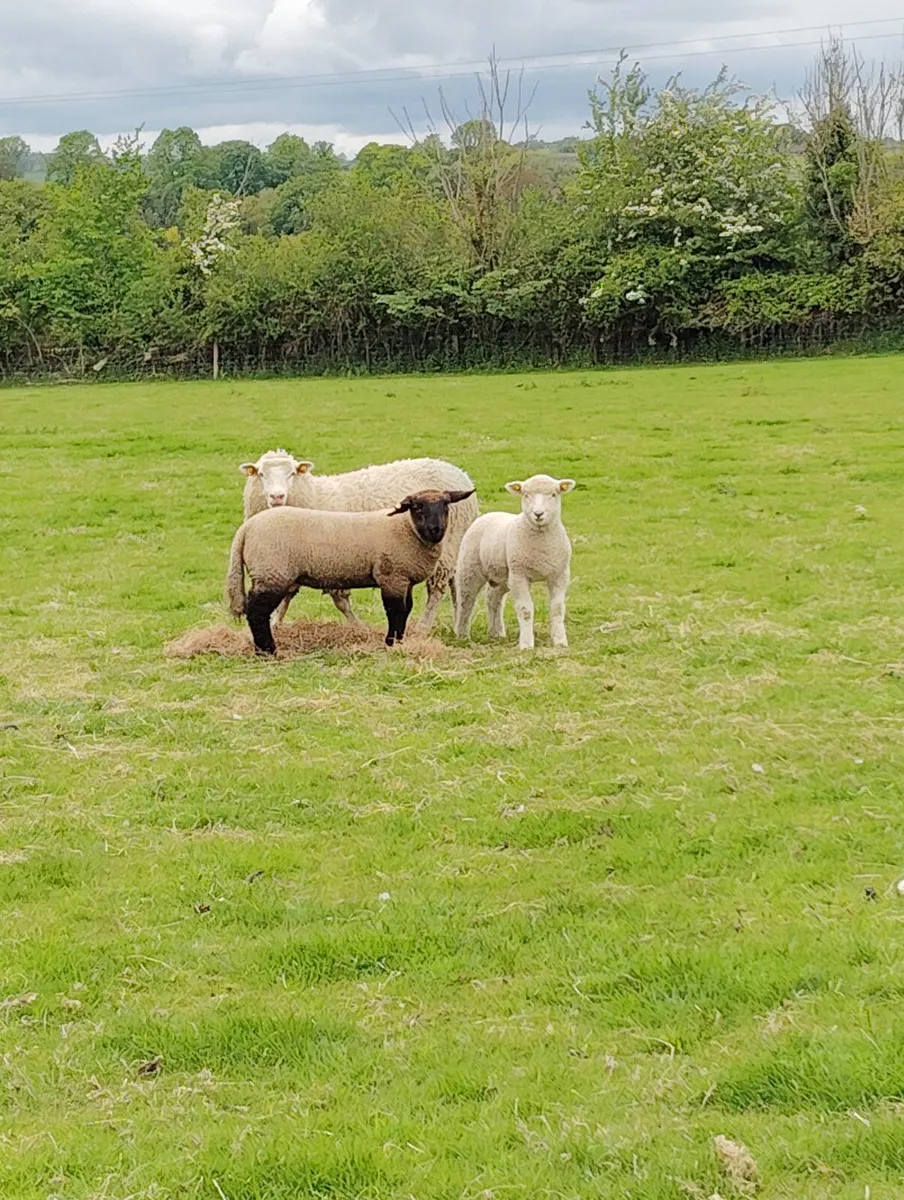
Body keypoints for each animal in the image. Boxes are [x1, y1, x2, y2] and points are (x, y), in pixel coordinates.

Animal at [226, 488, 475, 655]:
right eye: (417, 507)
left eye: (445, 505)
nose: (436, 529)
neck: (408, 529)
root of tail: (246, 529)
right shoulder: (391, 577)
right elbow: (395, 612)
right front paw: (390, 642)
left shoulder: (403, 580)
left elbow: (406, 610)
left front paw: (399, 641)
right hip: (272, 573)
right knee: (257, 612)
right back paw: (267, 650)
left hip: (269, 572)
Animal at [238, 450, 479, 630]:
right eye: (261, 474)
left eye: (292, 473)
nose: (277, 497)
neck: (315, 495)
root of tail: (461, 474)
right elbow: (287, 596)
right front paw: (275, 623)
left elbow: (341, 602)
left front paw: (360, 628)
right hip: (456, 545)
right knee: (456, 583)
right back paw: (458, 623)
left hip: (446, 547)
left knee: (437, 589)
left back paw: (423, 627)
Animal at [453, 474, 576, 651]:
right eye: (526, 495)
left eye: (554, 494)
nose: (538, 514)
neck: (542, 545)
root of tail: (489, 514)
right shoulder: (519, 575)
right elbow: (525, 610)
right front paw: (526, 644)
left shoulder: (560, 575)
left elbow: (557, 609)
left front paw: (560, 641)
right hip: (469, 568)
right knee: (466, 601)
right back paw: (462, 635)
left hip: (502, 576)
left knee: (493, 599)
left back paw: (496, 633)